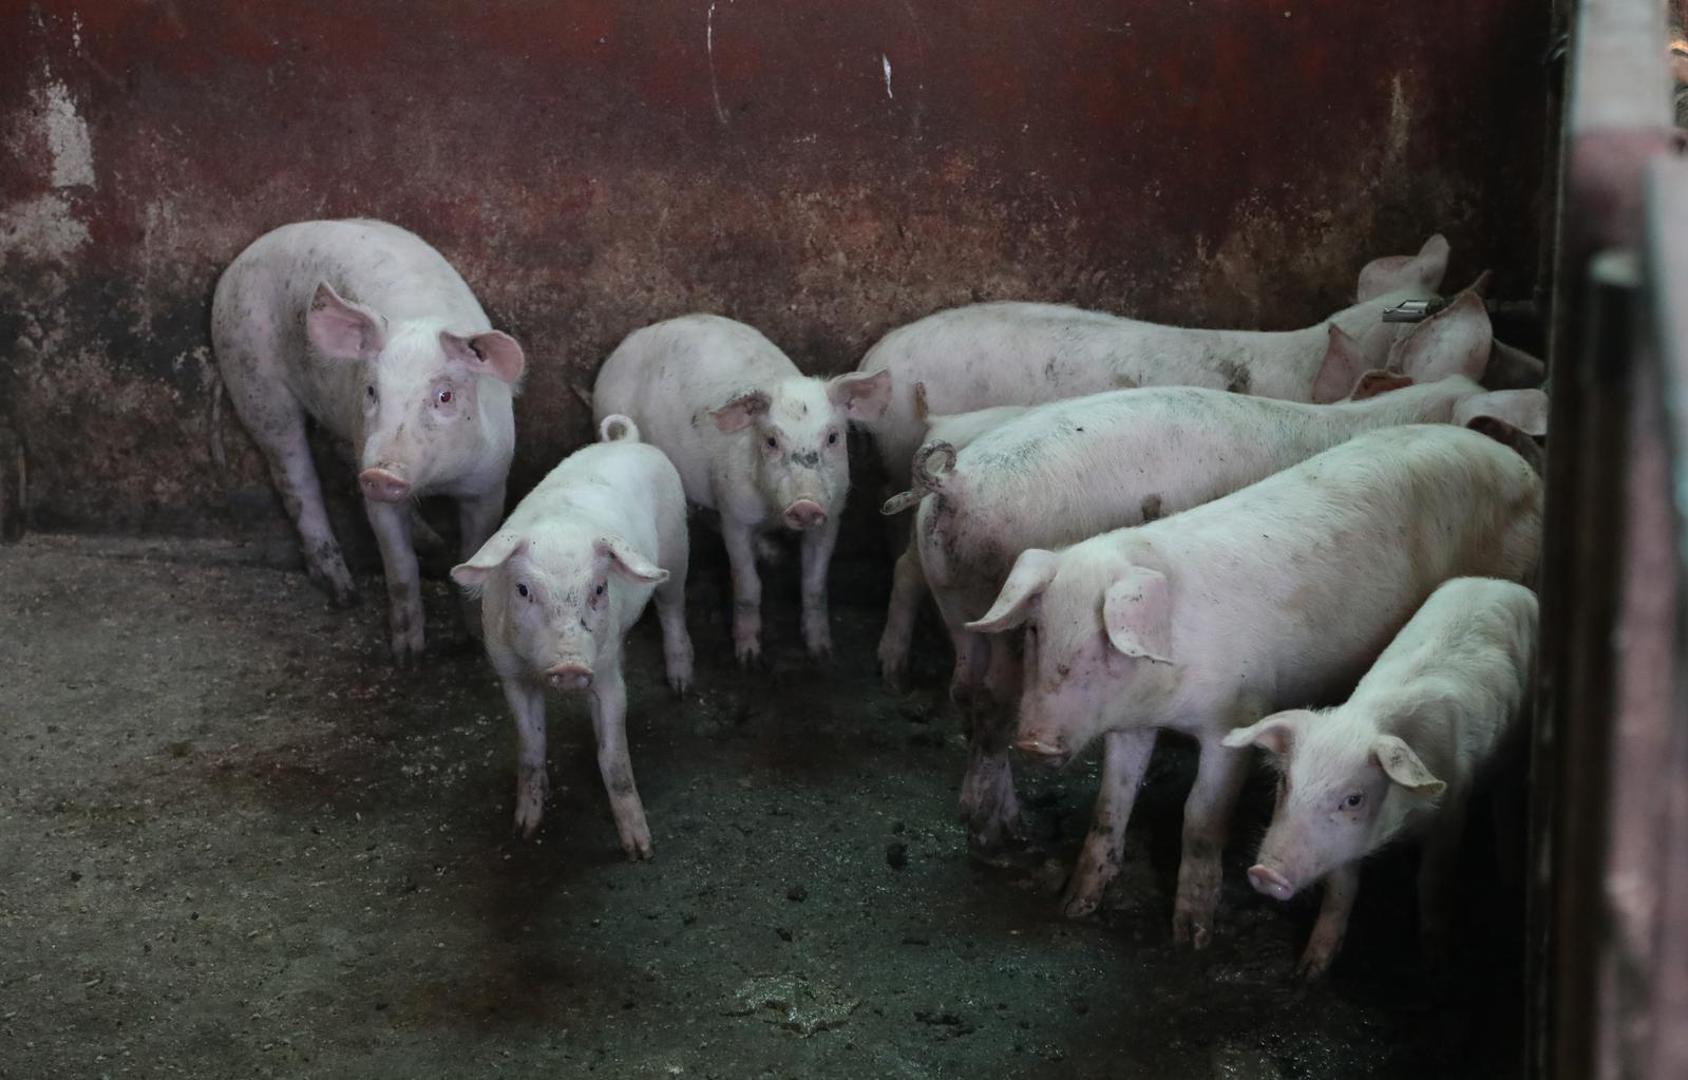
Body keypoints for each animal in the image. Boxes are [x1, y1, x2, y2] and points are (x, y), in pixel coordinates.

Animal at [211, 219, 525, 664]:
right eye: (373, 391)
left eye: (445, 396)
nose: (381, 474)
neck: (436, 481)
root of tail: (240, 261)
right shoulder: (376, 497)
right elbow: (399, 566)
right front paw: (408, 657)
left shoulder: (489, 482)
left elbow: (472, 551)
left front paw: (475, 640)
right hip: (254, 381)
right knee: (295, 478)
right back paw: (344, 594)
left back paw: (430, 544)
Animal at [450, 415, 692, 859]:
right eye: (523, 590)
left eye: (598, 588)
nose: (570, 665)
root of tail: (626, 441)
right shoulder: (510, 674)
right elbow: (530, 748)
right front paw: (524, 831)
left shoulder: (607, 676)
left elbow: (614, 758)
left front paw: (640, 850)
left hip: (676, 548)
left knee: (672, 608)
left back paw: (681, 685)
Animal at [592, 314, 891, 664]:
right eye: (771, 441)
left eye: (832, 437)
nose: (805, 505)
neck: (774, 513)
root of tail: (631, 340)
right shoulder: (735, 514)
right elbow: (748, 585)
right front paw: (748, 658)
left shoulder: (831, 517)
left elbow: (814, 585)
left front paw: (821, 653)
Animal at [1222, 577, 1537, 978]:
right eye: (1284, 783)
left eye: (1353, 799)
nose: (1265, 872)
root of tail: (1503, 583)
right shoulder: (1344, 849)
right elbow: (1340, 893)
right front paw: (1308, 971)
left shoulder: (1453, 811)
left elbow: (1433, 882)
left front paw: (1436, 963)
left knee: (1506, 798)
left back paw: (1512, 878)